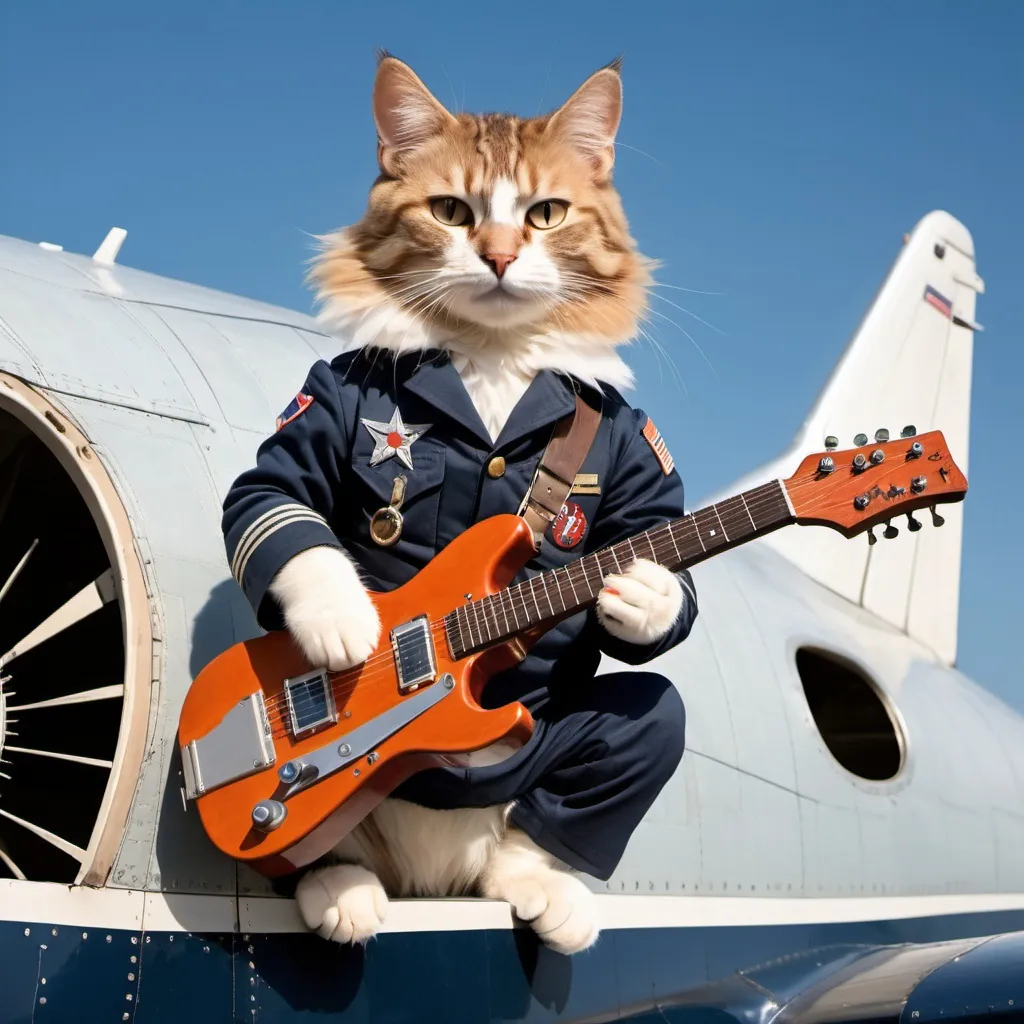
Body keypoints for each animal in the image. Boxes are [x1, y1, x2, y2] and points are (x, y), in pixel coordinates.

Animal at [268, 54, 684, 950]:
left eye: (545, 213)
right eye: (452, 212)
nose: (495, 255)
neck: (492, 356)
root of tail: (432, 876)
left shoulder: (638, 451)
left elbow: (653, 544)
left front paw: (645, 593)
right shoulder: (321, 401)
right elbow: (278, 497)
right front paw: (342, 625)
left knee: (636, 728)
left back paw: (541, 888)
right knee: (316, 851)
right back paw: (341, 886)